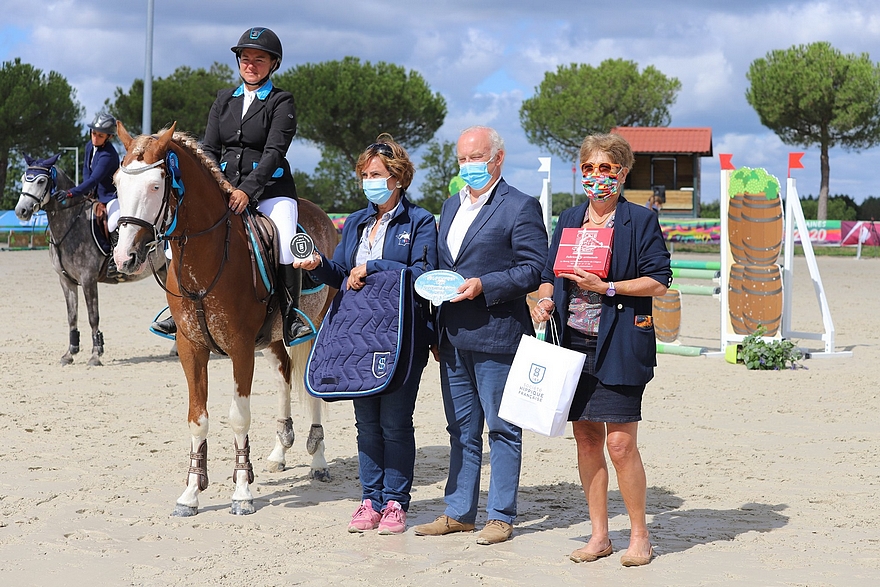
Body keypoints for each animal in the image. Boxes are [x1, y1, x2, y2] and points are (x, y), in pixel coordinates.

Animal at [14, 154, 167, 366]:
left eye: (41, 181)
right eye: (23, 179)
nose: (21, 211)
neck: (70, 222)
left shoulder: (88, 279)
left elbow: (93, 316)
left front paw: (95, 354)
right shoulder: (66, 281)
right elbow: (72, 316)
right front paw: (70, 353)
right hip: (163, 269)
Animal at [112, 121, 336, 516]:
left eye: (155, 185)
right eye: (117, 184)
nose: (125, 257)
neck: (209, 253)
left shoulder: (241, 348)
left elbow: (238, 417)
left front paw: (242, 492)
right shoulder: (191, 347)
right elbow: (197, 419)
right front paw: (190, 493)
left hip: (312, 331)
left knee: (313, 393)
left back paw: (318, 460)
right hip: (273, 340)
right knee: (284, 377)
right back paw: (280, 451)